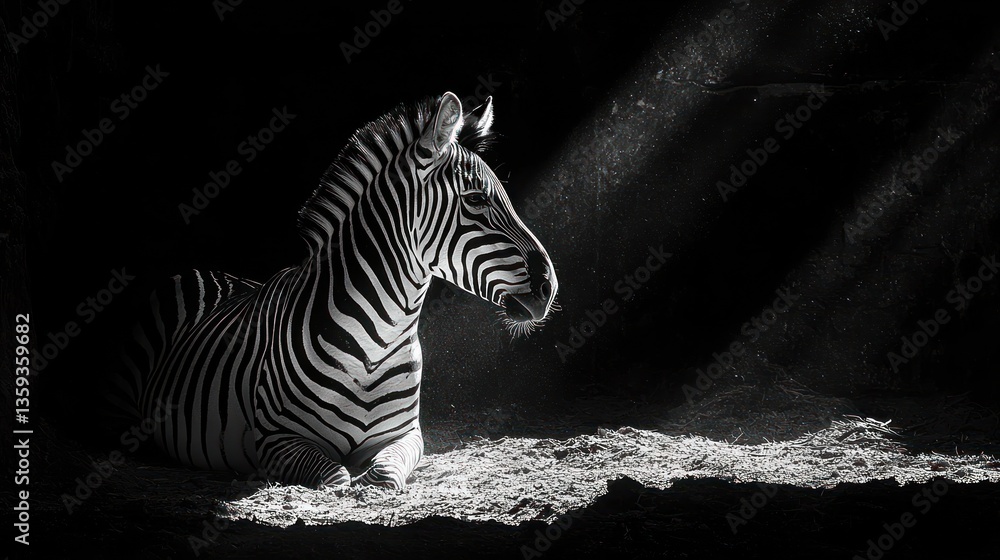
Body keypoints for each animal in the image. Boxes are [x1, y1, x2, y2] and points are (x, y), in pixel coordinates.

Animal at [115, 92, 558, 489]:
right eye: (476, 199)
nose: (548, 287)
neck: (378, 342)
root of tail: (206, 270)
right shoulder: (276, 439)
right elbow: (336, 477)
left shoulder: (407, 435)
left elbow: (384, 476)